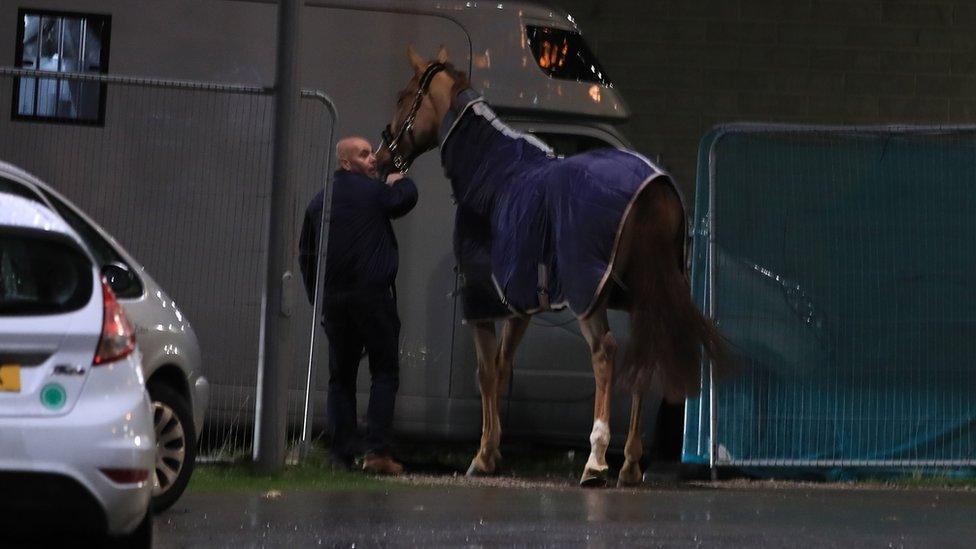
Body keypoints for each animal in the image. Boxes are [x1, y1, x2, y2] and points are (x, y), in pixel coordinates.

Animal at [378, 46, 728, 484]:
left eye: (403, 95)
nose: (383, 155)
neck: (493, 172)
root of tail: (655, 187)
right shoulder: (519, 303)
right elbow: (504, 367)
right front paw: (494, 450)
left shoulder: (481, 301)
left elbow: (486, 373)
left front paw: (482, 456)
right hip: (639, 296)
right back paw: (630, 463)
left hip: (588, 296)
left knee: (604, 354)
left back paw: (596, 460)